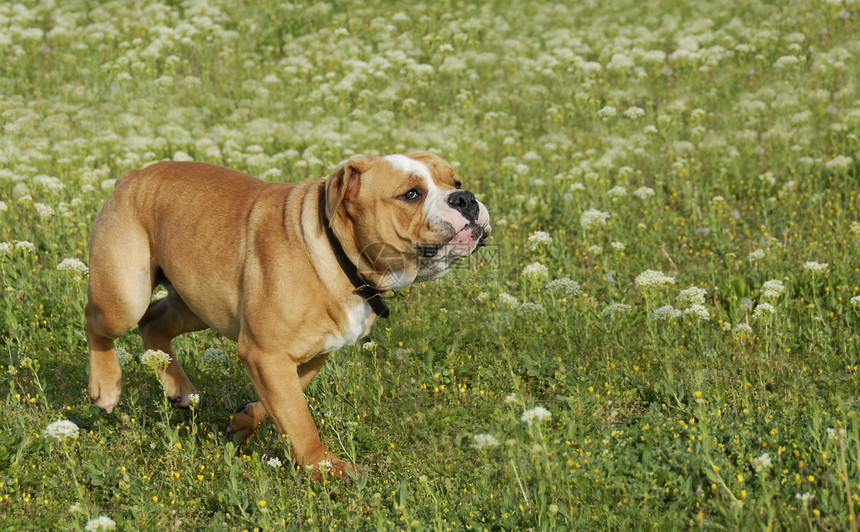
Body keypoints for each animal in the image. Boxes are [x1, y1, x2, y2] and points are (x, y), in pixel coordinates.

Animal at [88, 152, 494, 476]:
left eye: (455, 182)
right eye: (411, 194)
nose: (466, 198)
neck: (339, 254)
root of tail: (132, 175)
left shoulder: (309, 355)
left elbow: (284, 403)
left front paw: (244, 421)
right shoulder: (265, 354)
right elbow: (300, 419)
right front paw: (323, 466)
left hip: (195, 302)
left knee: (154, 322)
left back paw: (180, 390)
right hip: (124, 296)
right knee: (97, 320)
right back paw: (105, 387)